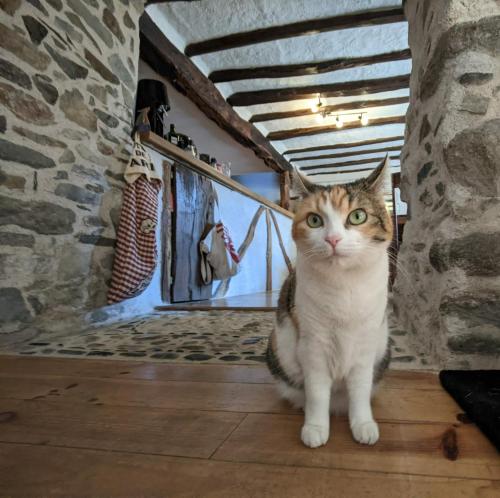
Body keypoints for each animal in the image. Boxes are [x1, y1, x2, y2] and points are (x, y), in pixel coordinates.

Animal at [268, 155, 392, 448]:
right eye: (314, 220)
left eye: (357, 216)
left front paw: (363, 424)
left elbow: (360, 390)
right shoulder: (313, 344)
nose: (332, 239)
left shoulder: (366, 345)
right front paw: (315, 427)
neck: (344, 286)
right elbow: (316, 393)